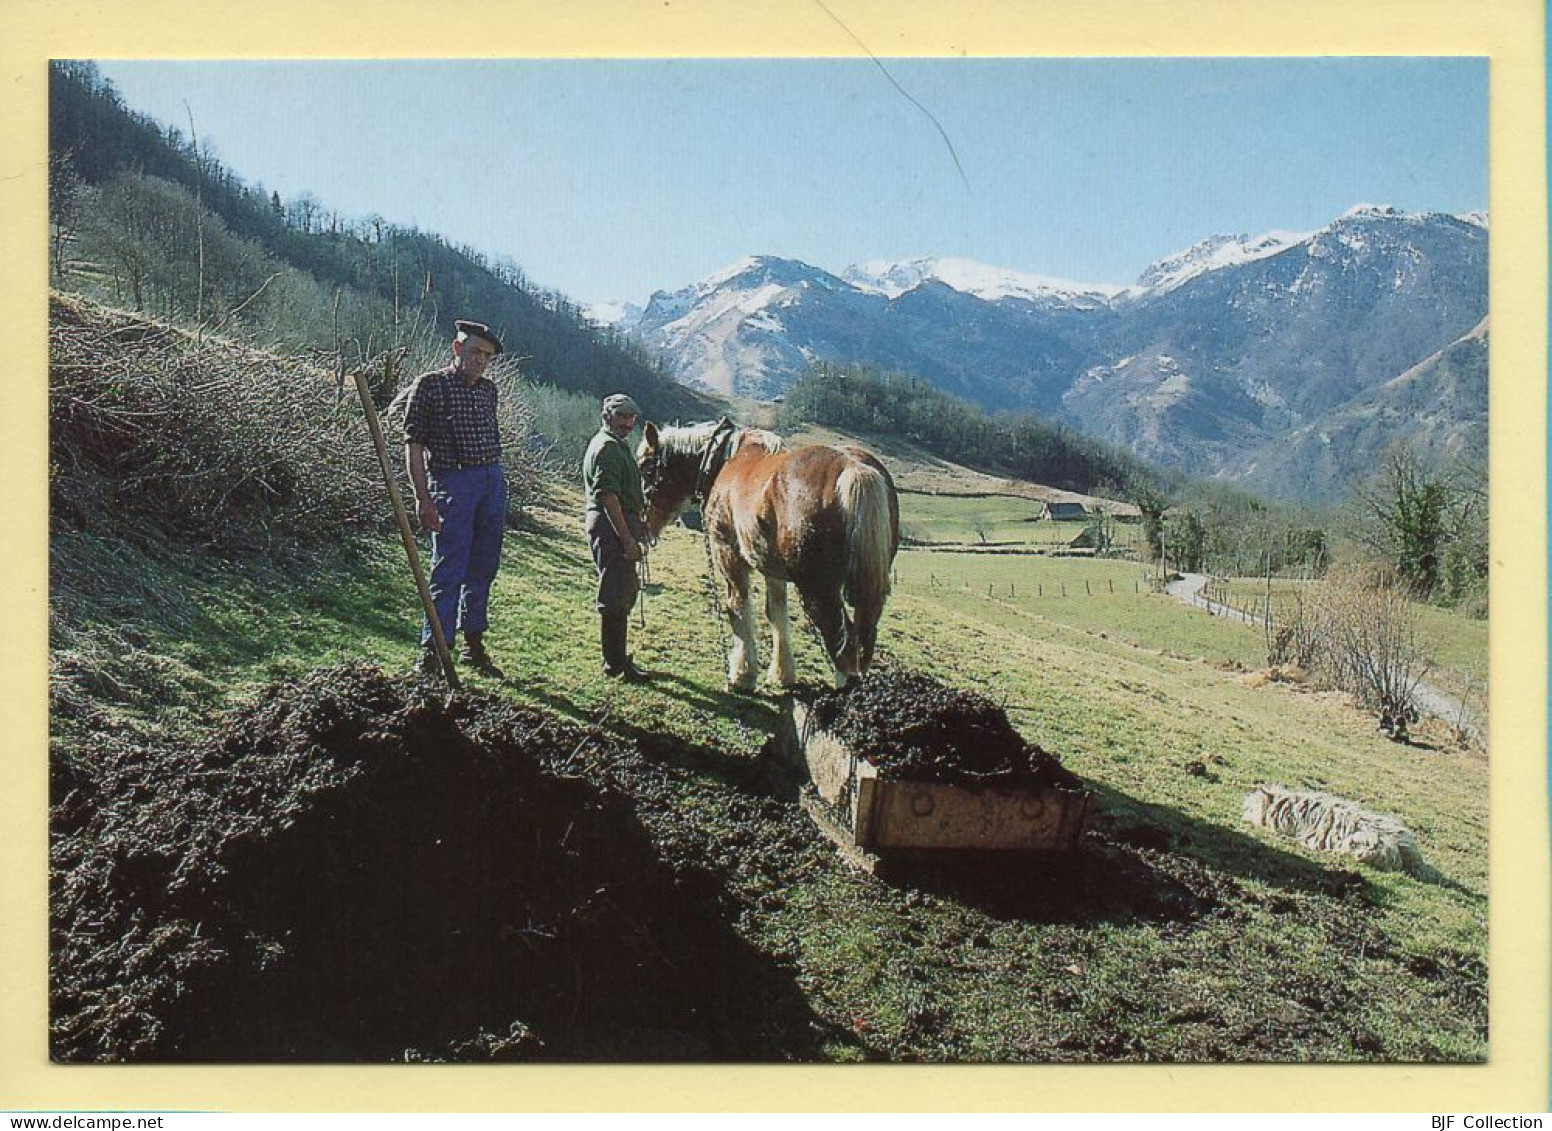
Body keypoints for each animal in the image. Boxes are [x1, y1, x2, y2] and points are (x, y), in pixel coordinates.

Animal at [633, 415, 900, 688]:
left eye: (645, 467)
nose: (641, 526)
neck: (721, 461)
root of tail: (853, 468)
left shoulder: (728, 553)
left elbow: (738, 607)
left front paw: (742, 675)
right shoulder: (772, 568)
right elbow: (776, 612)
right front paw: (782, 673)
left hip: (817, 586)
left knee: (842, 645)